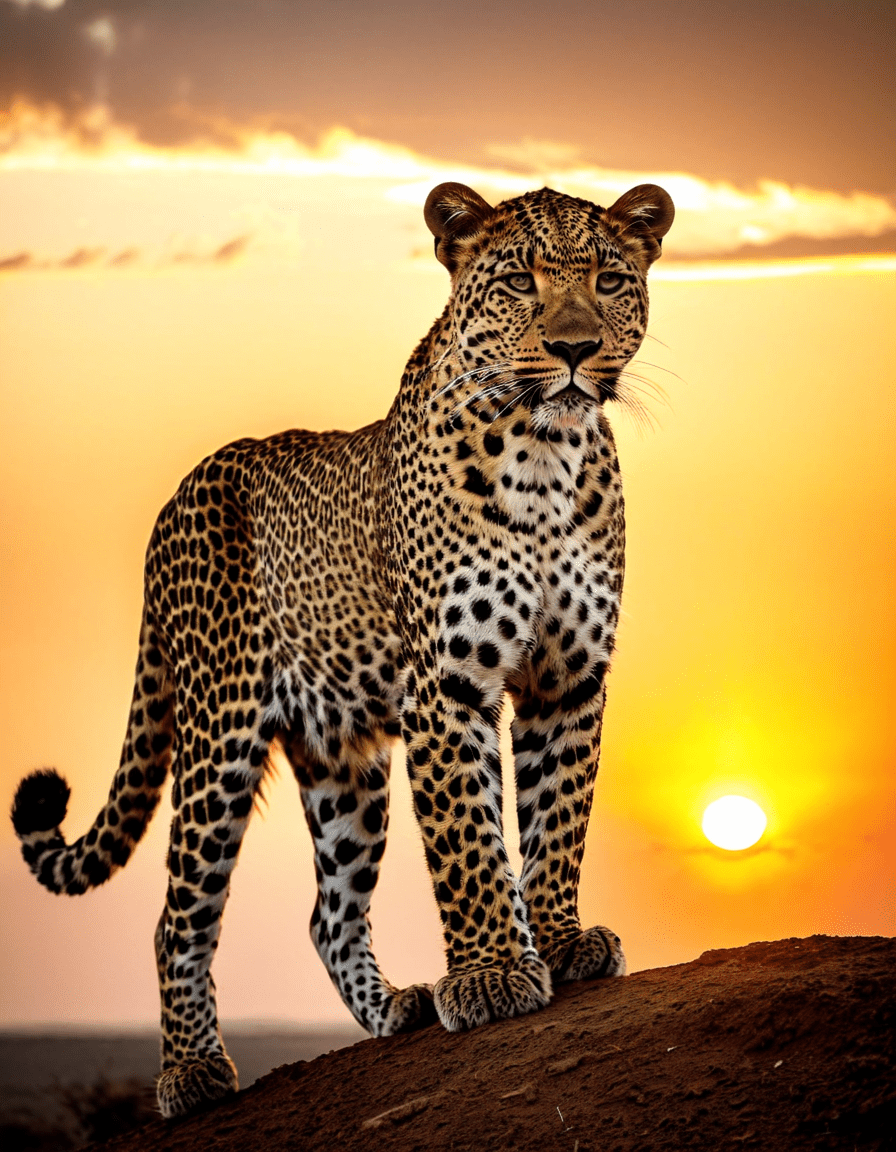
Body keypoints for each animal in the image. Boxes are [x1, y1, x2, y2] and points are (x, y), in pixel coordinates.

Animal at [12, 178, 674, 1119]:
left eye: (610, 280)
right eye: (520, 280)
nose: (575, 349)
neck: (546, 458)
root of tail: (177, 496)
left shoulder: (569, 681)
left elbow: (557, 816)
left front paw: (556, 939)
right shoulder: (448, 685)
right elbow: (470, 839)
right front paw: (492, 974)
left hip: (342, 759)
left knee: (329, 910)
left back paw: (395, 1007)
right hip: (219, 736)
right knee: (179, 918)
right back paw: (192, 1073)